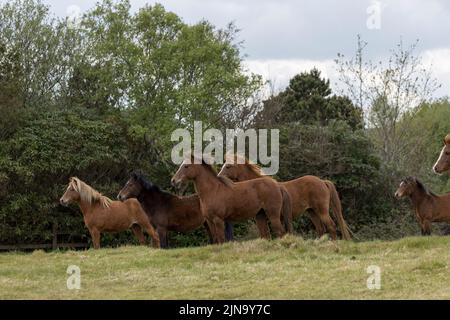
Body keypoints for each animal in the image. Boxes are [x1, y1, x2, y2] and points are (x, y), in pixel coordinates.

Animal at [218, 153, 352, 240]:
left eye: (228, 166)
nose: (218, 177)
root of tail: (322, 181)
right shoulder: (260, 217)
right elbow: (264, 235)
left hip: (321, 210)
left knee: (331, 226)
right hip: (312, 212)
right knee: (321, 229)